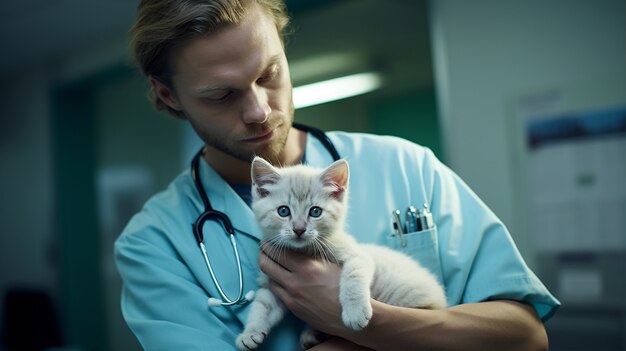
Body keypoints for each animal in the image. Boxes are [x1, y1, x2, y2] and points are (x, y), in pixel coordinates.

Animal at [234, 158, 444, 350]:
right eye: (283, 211)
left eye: (315, 212)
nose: (299, 229)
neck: (305, 251)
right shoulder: (272, 284)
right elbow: (262, 306)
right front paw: (250, 332)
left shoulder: (358, 256)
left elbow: (353, 277)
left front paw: (355, 313)